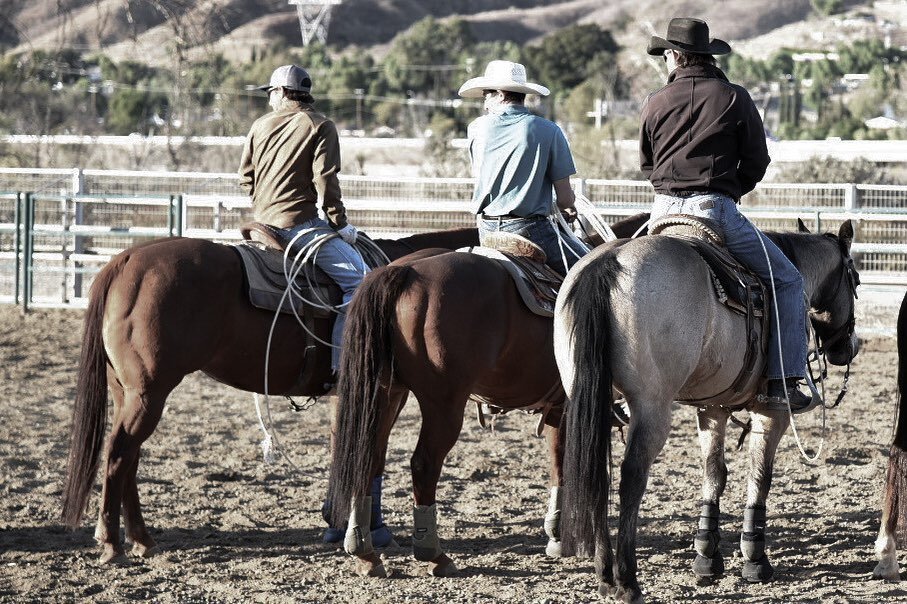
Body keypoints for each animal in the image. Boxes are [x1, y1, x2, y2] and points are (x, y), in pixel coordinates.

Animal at [59, 225, 478, 560]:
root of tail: (126, 260)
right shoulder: (386, 393)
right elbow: (369, 455)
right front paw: (368, 530)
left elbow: (356, 450)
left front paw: (341, 524)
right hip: (148, 394)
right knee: (119, 453)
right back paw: (112, 542)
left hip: (130, 394)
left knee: (128, 457)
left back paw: (142, 539)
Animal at [322, 215, 648, 580]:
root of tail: (405, 272)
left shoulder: (559, 406)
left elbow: (558, 460)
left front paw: (557, 534)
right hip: (443, 402)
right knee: (424, 463)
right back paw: (433, 554)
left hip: (386, 393)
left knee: (367, 456)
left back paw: (364, 551)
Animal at [552, 219, 860, 600]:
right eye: (856, 280)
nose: (847, 348)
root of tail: (607, 262)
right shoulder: (773, 411)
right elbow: (760, 476)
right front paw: (755, 558)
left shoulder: (713, 407)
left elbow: (714, 474)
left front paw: (707, 556)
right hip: (651, 408)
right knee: (631, 478)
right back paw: (626, 580)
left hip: (590, 402)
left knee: (597, 475)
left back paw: (604, 574)